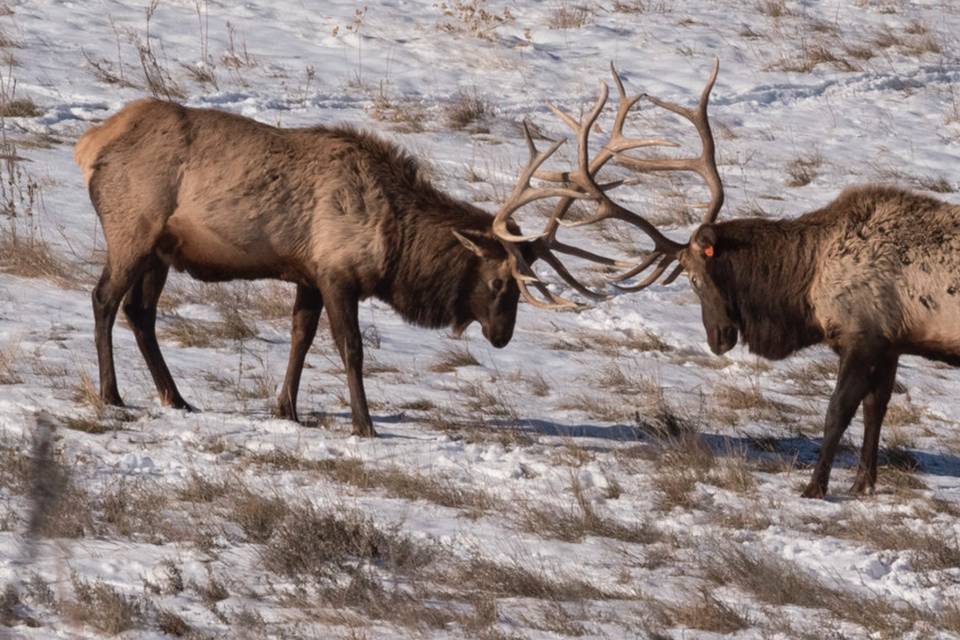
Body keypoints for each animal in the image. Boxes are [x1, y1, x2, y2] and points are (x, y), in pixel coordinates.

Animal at [75, 100, 632, 438]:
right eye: (500, 282)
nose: (502, 336)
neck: (397, 243)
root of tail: (90, 144)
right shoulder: (337, 273)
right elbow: (352, 349)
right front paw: (365, 425)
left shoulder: (306, 275)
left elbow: (300, 337)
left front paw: (288, 409)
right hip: (132, 229)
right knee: (104, 299)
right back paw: (112, 394)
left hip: (161, 250)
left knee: (141, 313)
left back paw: (177, 398)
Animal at [548, 60, 960, 498]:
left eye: (694, 280)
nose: (718, 339)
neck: (806, 284)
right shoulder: (890, 343)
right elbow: (875, 410)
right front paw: (862, 483)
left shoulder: (862, 336)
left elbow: (836, 412)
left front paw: (815, 487)